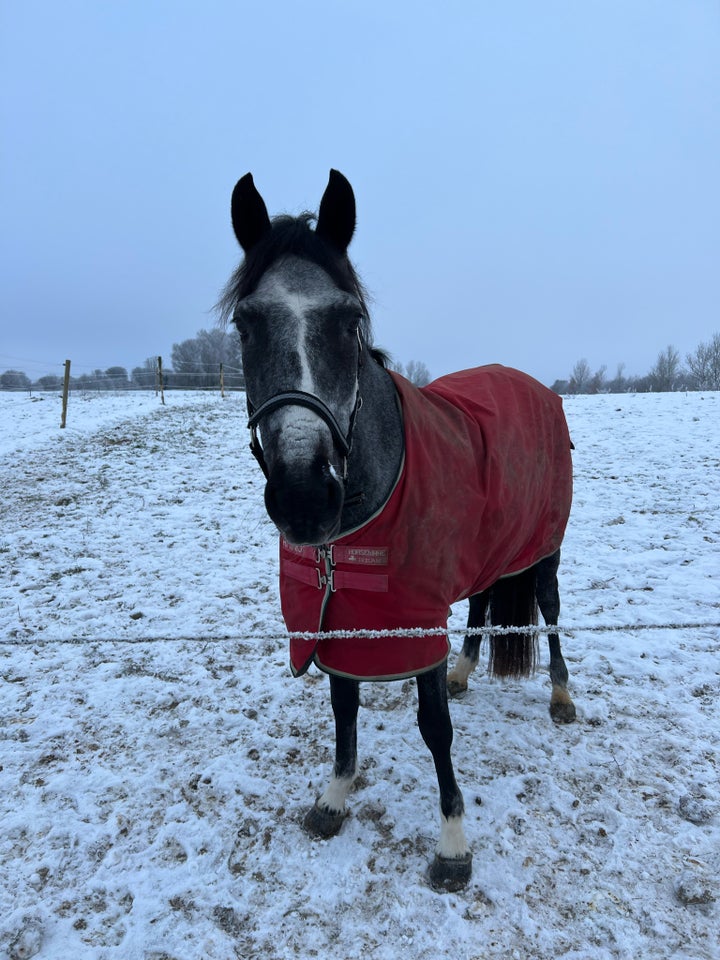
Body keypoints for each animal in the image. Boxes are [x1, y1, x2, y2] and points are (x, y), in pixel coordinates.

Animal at [217, 167, 576, 892]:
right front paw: (333, 797)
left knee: (549, 609)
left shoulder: (412, 618)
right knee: (484, 598)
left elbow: (434, 726)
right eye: (246, 323)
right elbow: (343, 707)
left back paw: (559, 694)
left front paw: (453, 843)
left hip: (544, 547)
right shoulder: (339, 618)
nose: (304, 496)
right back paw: (466, 670)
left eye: (348, 320)